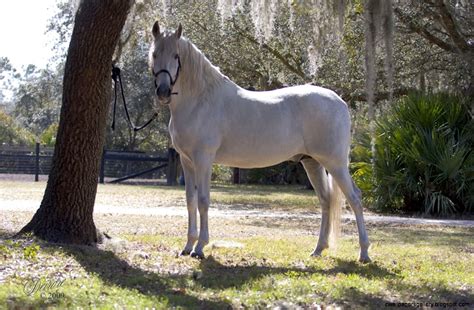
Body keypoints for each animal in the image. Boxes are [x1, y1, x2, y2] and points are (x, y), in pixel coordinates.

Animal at [148, 21, 370, 262]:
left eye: (176, 55)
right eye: (154, 53)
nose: (163, 91)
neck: (200, 100)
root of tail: (340, 102)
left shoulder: (203, 159)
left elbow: (203, 201)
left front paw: (199, 248)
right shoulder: (187, 162)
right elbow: (190, 200)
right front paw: (188, 246)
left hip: (335, 163)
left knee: (355, 199)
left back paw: (364, 253)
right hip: (312, 162)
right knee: (326, 201)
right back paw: (318, 249)